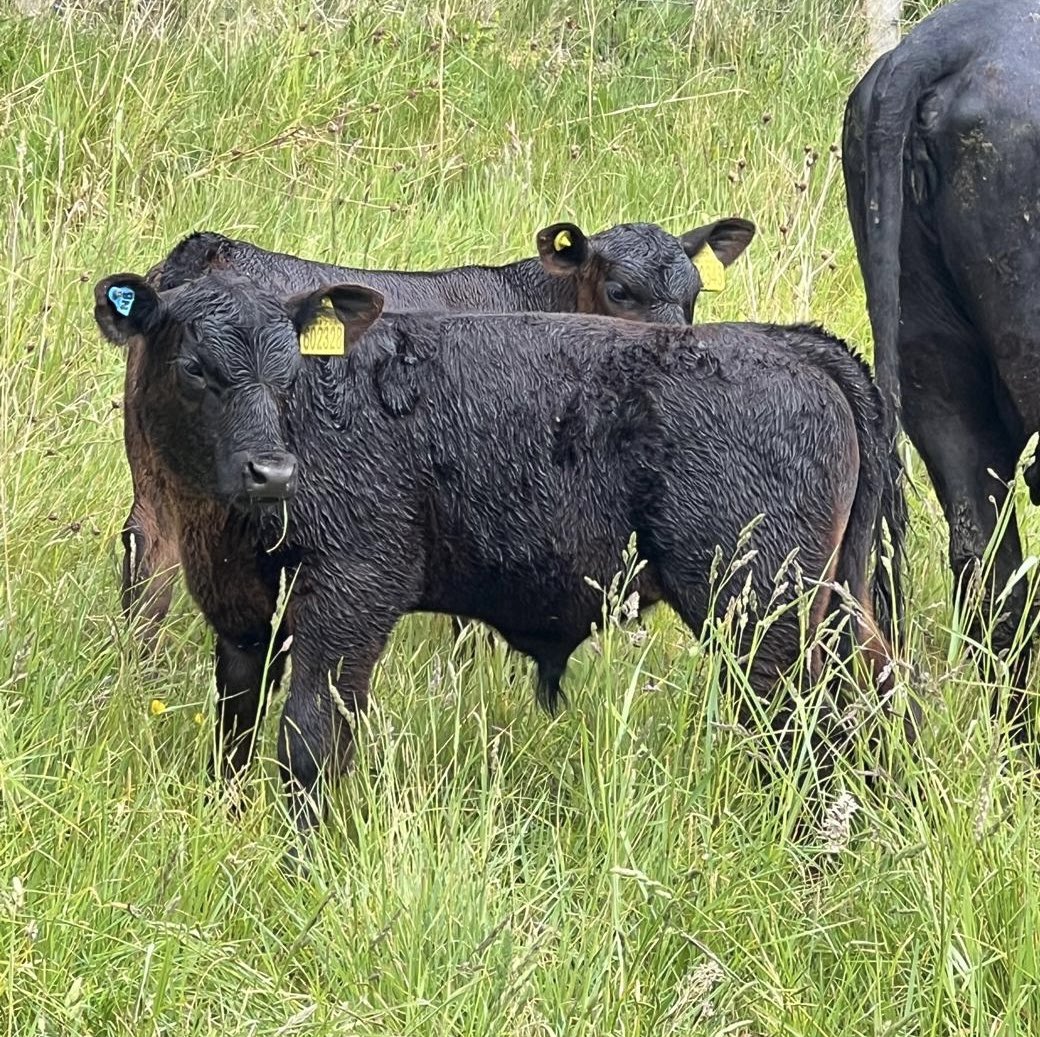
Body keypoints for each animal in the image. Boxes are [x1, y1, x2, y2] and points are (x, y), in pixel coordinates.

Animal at [93, 268, 906, 848]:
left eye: (288, 367)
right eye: (195, 367)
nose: (272, 471)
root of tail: (793, 343)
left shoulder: (353, 593)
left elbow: (310, 737)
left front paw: (299, 857)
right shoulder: (241, 617)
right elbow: (234, 728)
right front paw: (229, 822)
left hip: (762, 613)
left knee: (806, 726)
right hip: (833, 608)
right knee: (878, 700)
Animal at [122, 217, 757, 640]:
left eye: (694, 294)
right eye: (621, 291)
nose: (678, 348)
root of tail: (208, 249)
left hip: (157, 466)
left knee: (149, 554)